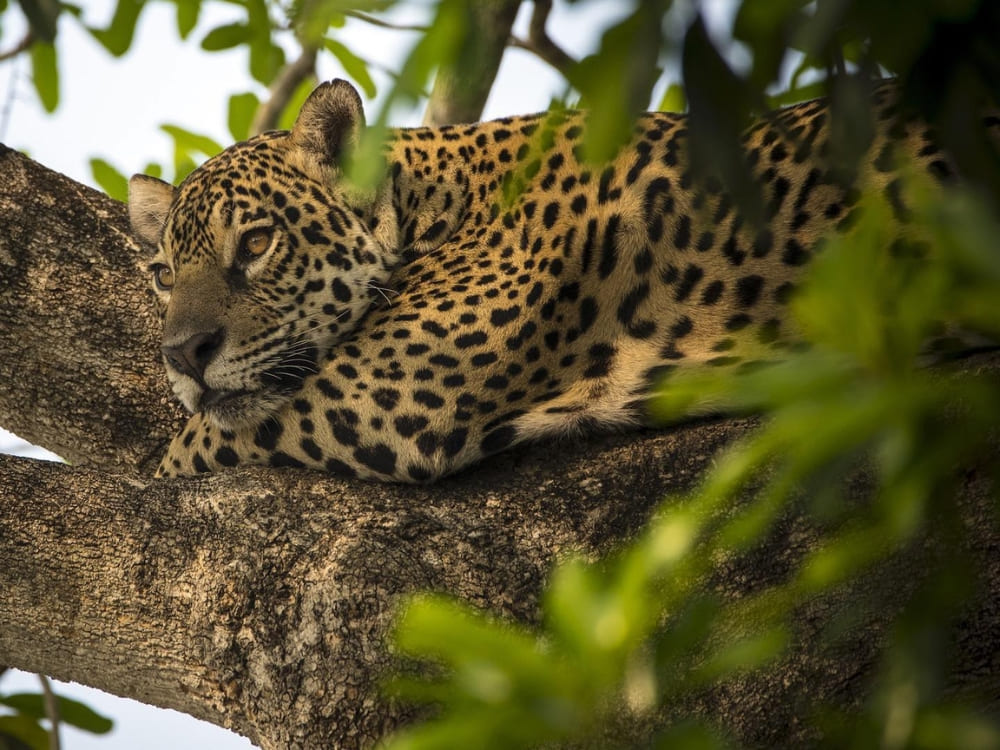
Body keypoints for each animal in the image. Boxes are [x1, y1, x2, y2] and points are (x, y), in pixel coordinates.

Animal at [128, 77, 971, 481]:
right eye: (165, 275)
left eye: (256, 242)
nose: (183, 355)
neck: (433, 200)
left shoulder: (381, 395)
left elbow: (184, 452)